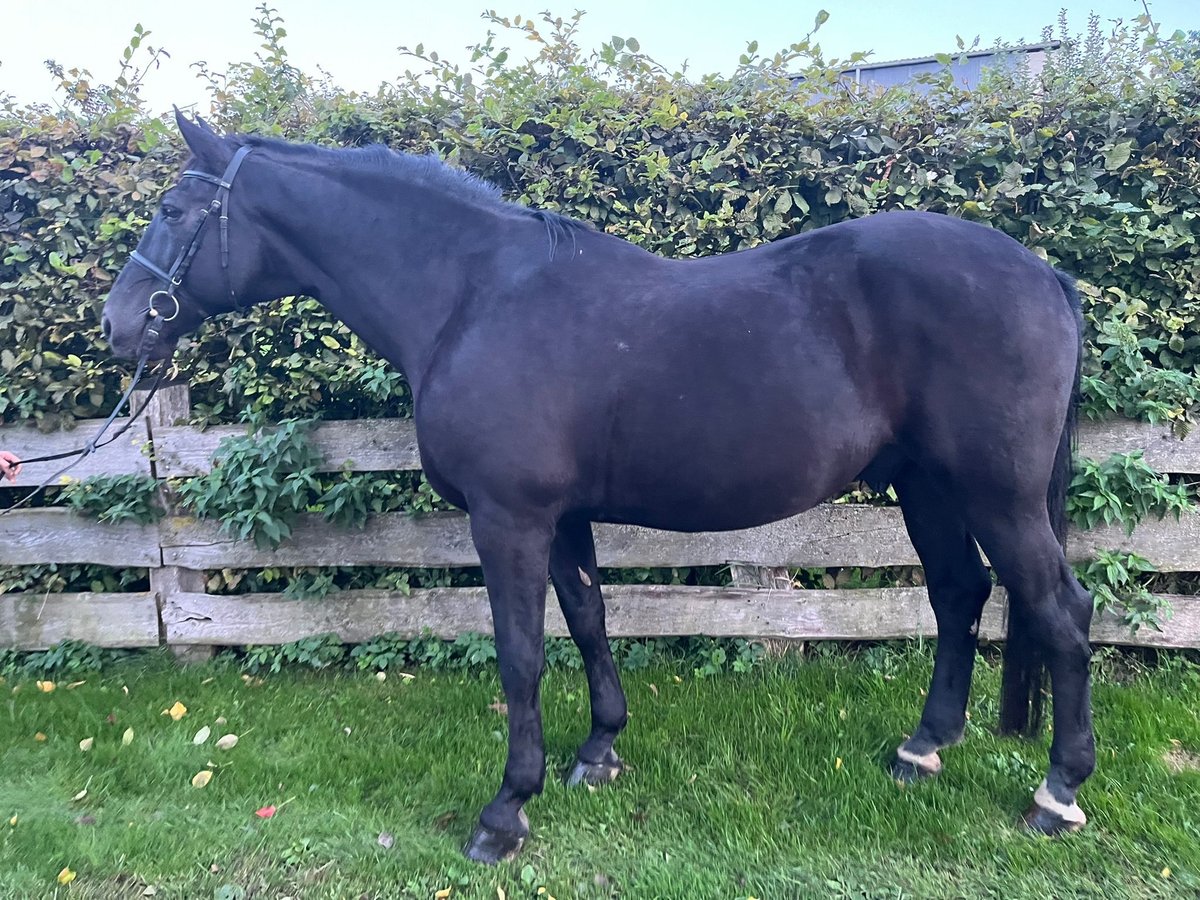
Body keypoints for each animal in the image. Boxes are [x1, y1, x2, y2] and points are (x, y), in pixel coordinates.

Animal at [103, 114, 1099, 868]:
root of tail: (1045, 273)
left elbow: (520, 655)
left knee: (1062, 611)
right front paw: (598, 754)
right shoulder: (564, 518)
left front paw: (506, 812)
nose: (117, 326)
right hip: (927, 486)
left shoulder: (508, 519)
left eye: (172, 208)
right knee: (960, 594)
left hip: (998, 496)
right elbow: (588, 620)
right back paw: (922, 751)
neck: (471, 297)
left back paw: (1056, 794)